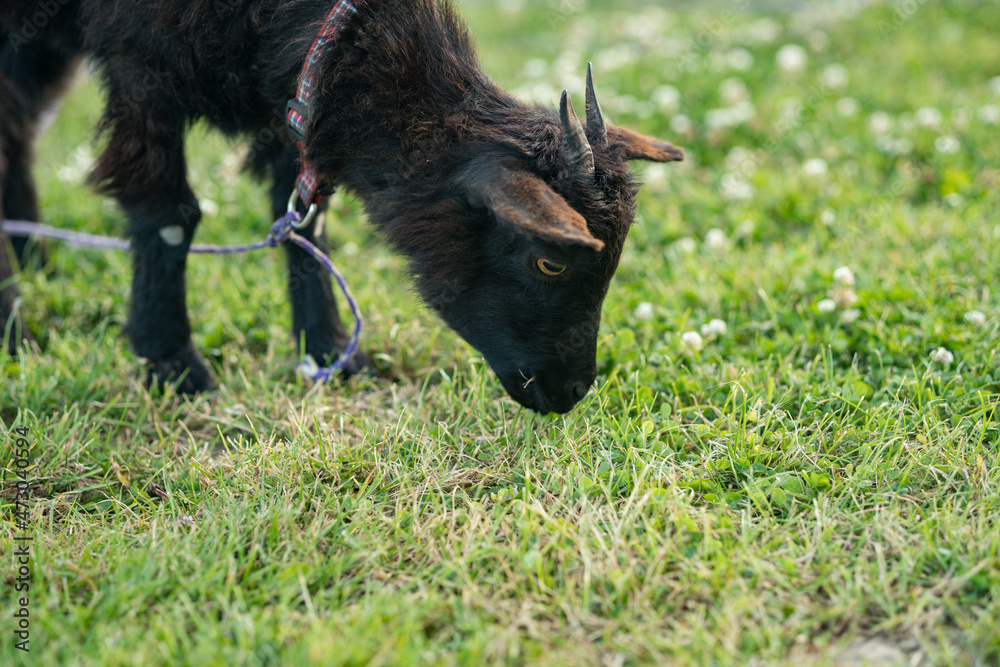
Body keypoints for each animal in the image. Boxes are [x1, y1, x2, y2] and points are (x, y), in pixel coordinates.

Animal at [0, 0, 684, 414]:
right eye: (549, 261)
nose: (571, 391)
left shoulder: (294, 107)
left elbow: (306, 216)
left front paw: (330, 353)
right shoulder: (141, 63)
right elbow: (170, 215)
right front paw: (173, 365)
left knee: (19, 129)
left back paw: (32, 263)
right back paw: (15, 325)